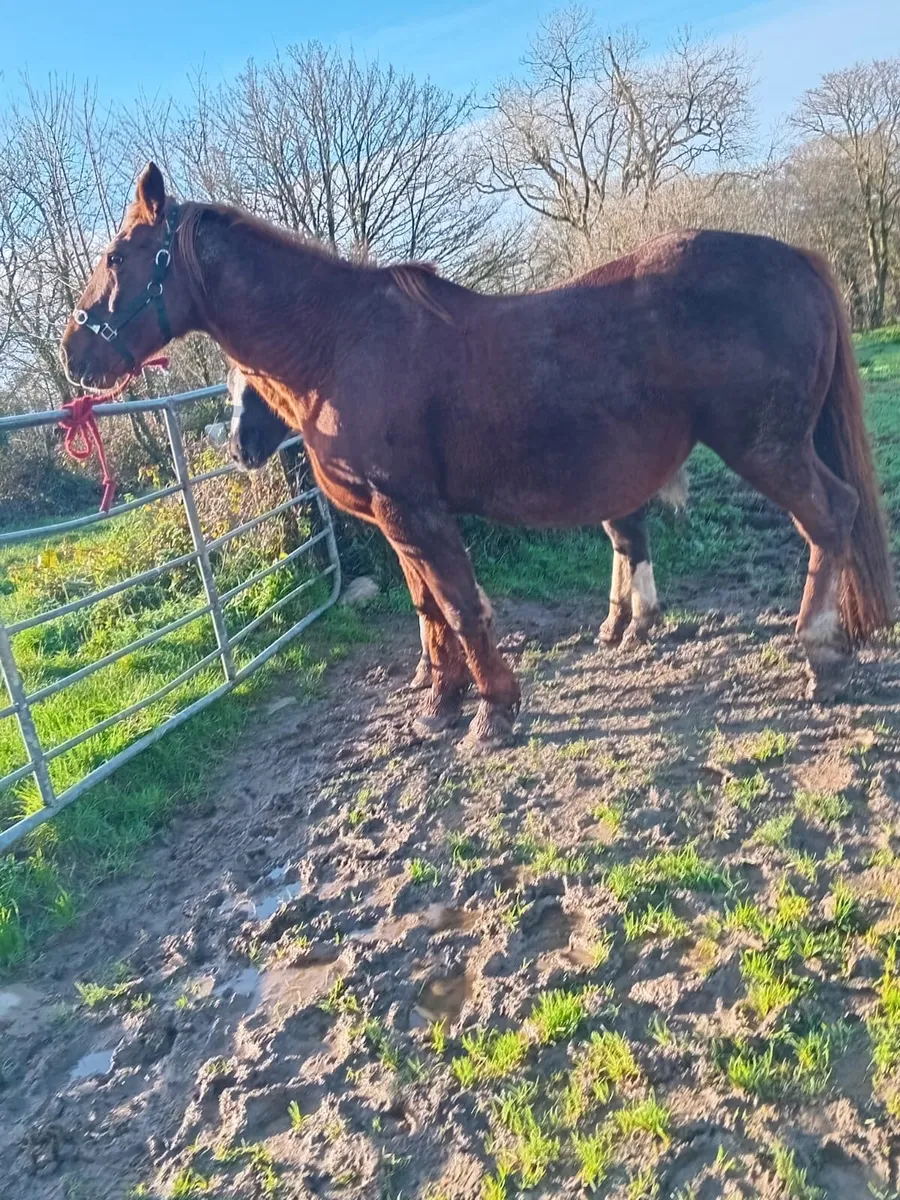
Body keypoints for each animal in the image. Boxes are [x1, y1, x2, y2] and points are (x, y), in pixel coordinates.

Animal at [226, 364, 688, 693]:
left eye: (259, 385)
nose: (239, 449)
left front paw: (436, 668)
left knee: (630, 538)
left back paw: (635, 626)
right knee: (624, 540)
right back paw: (614, 625)